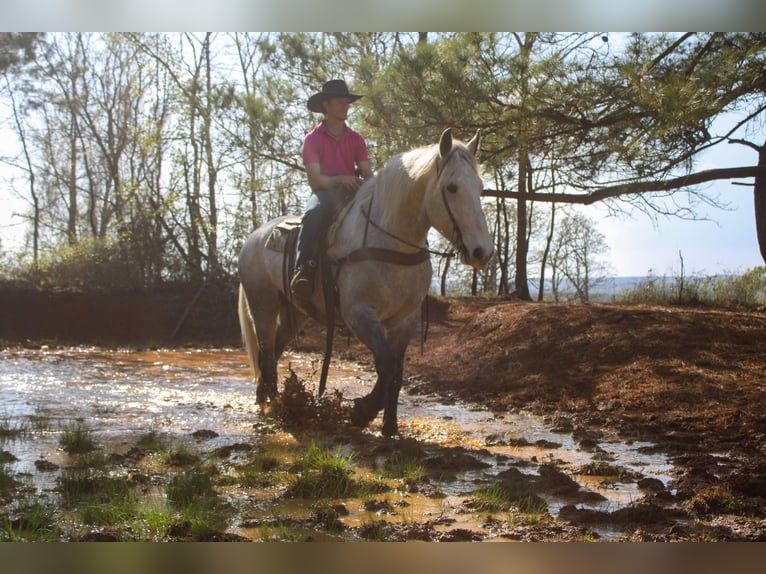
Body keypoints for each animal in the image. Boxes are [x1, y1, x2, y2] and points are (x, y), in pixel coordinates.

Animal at [237, 128, 493, 436]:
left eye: (480, 187)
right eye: (452, 187)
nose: (482, 252)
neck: (390, 241)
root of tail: (253, 238)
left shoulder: (405, 319)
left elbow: (397, 371)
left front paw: (390, 427)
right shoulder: (358, 313)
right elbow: (385, 363)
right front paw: (362, 412)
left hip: (294, 314)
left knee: (273, 350)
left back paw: (268, 399)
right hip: (262, 303)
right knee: (265, 351)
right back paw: (274, 406)